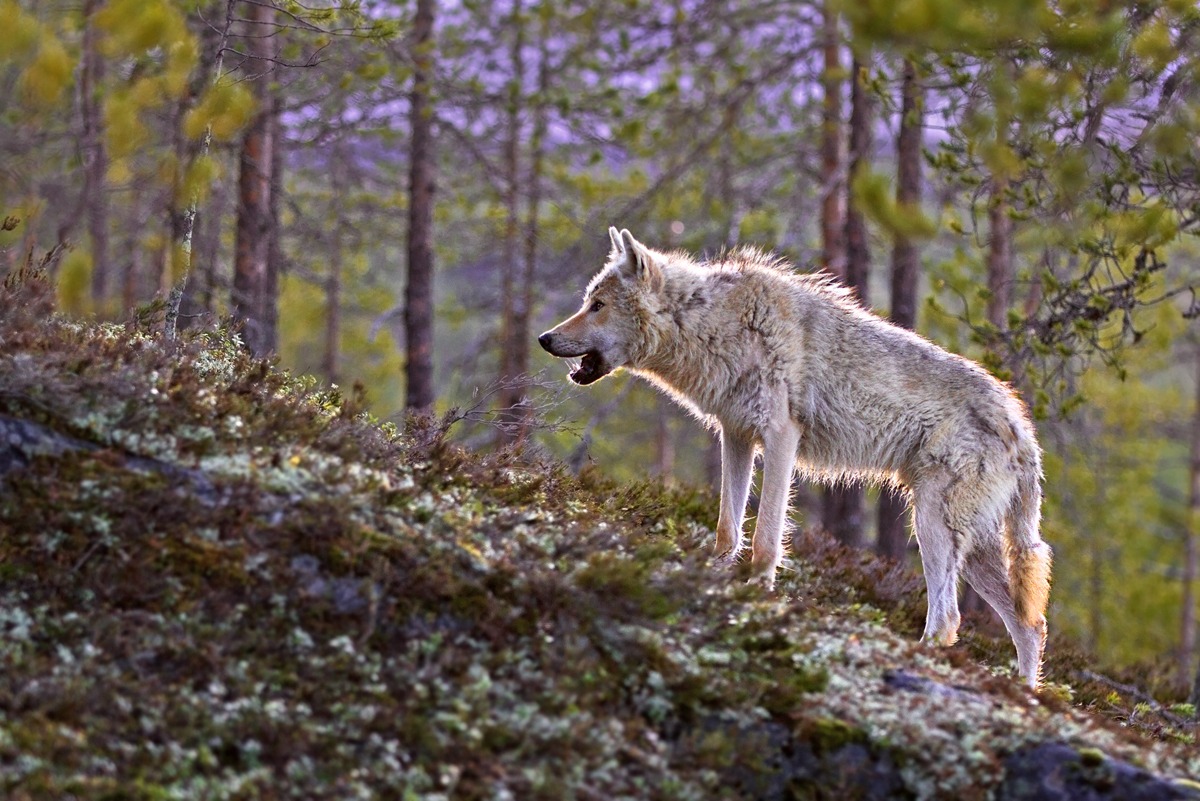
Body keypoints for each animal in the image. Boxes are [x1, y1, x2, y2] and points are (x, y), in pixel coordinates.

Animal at [538, 227, 1052, 687]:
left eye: (597, 306)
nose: (544, 338)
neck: (717, 325)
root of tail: (1022, 427)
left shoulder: (781, 437)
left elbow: (766, 537)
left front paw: (758, 595)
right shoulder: (736, 436)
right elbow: (728, 530)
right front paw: (715, 580)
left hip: (931, 525)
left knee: (949, 620)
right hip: (973, 549)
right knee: (1030, 625)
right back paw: (1025, 696)